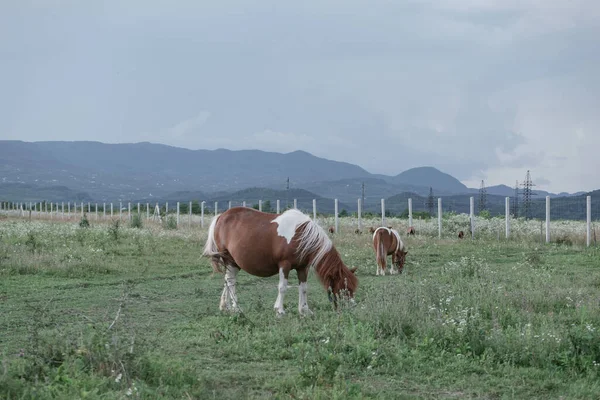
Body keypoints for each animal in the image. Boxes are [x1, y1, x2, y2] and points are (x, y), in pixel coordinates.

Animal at [204, 206, 358, 316]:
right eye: (344, 288)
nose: (352, 308)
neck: (301, 236)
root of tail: (221, 217)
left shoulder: (303, 267)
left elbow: (303, 288)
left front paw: (304, 310)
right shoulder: (285, 264)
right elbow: (282, 287)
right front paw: (280, 310)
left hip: (234, 263)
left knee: (227, 281)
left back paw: (225, 307)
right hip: (229, 260)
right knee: (231, 283)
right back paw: (236, 308)